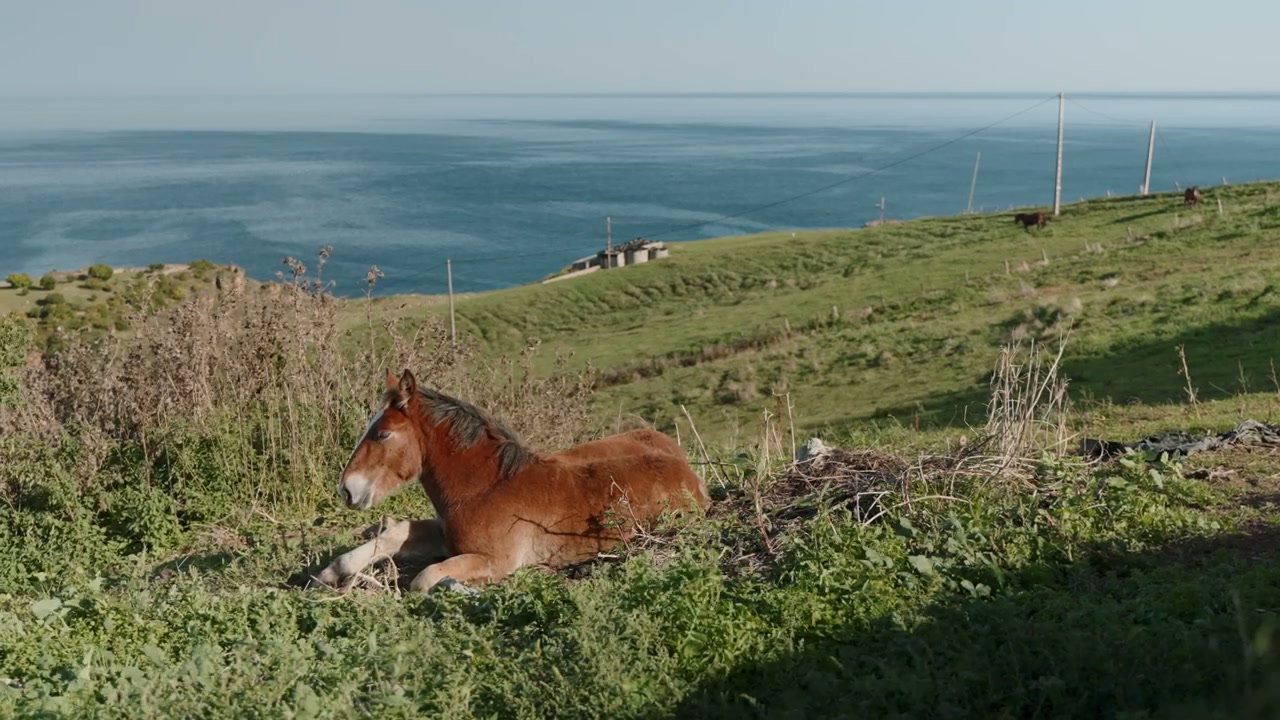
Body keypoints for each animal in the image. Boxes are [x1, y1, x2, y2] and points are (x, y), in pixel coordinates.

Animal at [309, 369, 710, 592]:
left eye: (383, 434)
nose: (347, 489)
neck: (484, 487)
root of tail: (692, 477)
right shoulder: (445, 535)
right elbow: (395, 534)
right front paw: (329, 574)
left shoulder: (495, 560)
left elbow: (423, 580)